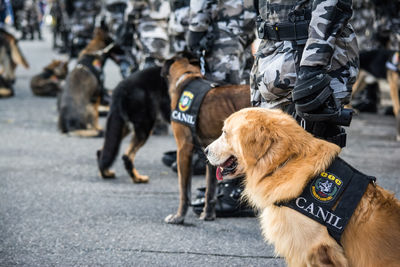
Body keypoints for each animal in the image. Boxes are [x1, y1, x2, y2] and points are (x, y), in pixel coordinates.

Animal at [162, 57, 250, 225]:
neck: (187, 76)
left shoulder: (183, 149)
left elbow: (184, 191)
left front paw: (179, 216)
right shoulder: (210, 154)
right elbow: (210, 190)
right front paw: (208, 214)